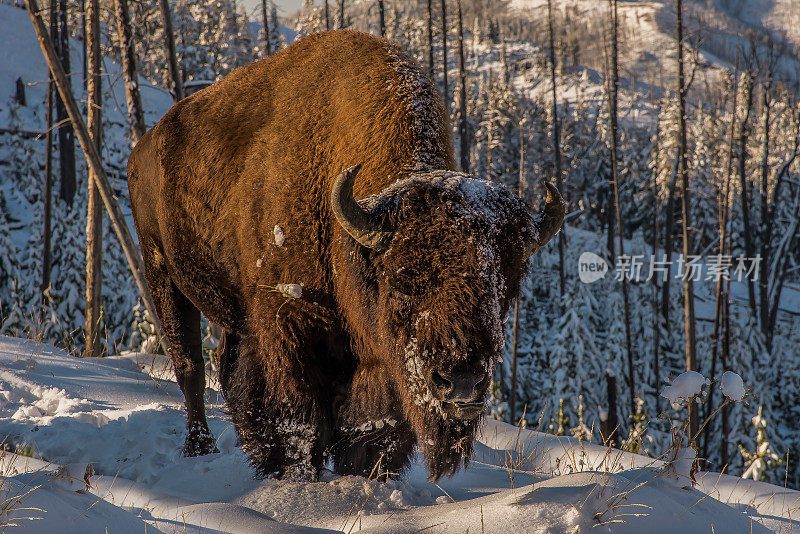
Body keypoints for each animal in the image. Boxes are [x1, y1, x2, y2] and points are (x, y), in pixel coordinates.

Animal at [128, 29, 564, 484]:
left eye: (505, 287)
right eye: (403, 279)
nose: (461, 382)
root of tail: (145, 146)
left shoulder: (376, 365)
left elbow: (371, 431)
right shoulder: (289, 325)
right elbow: (300, 421)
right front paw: (297, 478)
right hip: (161, 274)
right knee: (190, 366)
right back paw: (201, 447)